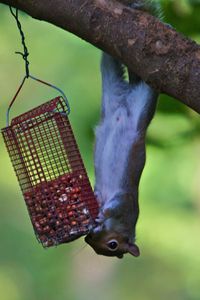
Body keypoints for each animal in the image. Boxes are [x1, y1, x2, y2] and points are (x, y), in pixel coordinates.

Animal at [85, 0, 160, 258]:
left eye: (111, 247)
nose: (88, 238)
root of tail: (125, 100)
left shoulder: (122, 201)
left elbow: (108, 203)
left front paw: (99, 208)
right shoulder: (126, 203)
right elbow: (112, 205)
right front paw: (100, 212)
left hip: (113, 88)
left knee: (109, 60)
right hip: (143, 97)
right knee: (147, 81)